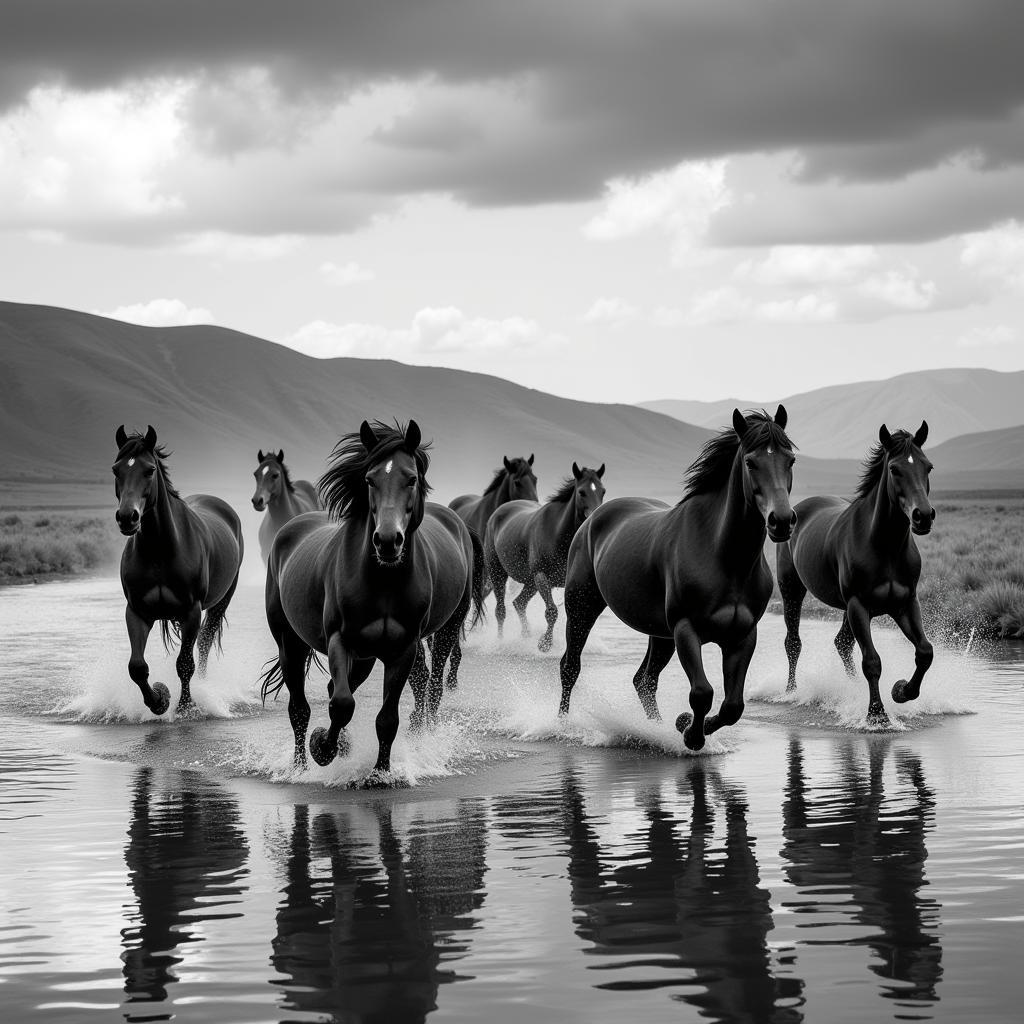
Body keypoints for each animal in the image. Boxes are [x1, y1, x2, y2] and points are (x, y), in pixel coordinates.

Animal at [112, 421, 245, 712]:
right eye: (116, 469)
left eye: (149, 470)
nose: (127, 517)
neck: (159, 551)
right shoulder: (136, 611)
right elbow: (137, 667)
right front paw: (159, 700)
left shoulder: (190, 611)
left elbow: (185, 664)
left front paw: (185, 707)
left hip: (221, 601)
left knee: (204, 644)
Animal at [256, 419, 479, 778]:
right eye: (370, 479)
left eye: (411, 478)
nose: (387, 541)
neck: (382, 582)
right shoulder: (340, 640)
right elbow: (342, 704)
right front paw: (323, 747)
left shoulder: (402, 649)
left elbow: (387, 719)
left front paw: (380, 773)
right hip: (290, 641)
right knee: (300, 708)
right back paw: (301, 766)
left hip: (421, 638)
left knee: (428, 686)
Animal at [483, 462, 602, 651]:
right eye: (582, 492)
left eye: (603, 491)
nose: (595, 517)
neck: (558, 532)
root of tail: (497, 513)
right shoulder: (542, 576)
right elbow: (552, 611)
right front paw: (545, 644)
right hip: (498, 573)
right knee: (500, 610)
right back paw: (500, 642)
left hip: (530, 582)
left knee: (519, 603)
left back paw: (525, 636)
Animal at [557, 407, 794, 753]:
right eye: (751, 462)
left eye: (790, 460)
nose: (782, 522)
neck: (724, 555)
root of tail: (592, 520)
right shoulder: (686, 629)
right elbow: (702, 693)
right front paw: (690, 733)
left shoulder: (742, 636)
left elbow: (732, 706)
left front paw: (687, 726)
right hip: (582, 609)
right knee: (570, 667)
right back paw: (561, 725)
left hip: (659, 634)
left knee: (644, 680)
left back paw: (654, 729)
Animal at [774, 419, 937, 724]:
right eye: (895, 469)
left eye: (928, 466)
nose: (923, 516)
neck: (885, 546)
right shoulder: (858, 604)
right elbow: (872, 661)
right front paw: (877, 715)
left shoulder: (904, 603)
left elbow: (924, 652)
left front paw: (901, 691)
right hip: (793, 590)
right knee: (793, 642)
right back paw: (791, 692)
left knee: (842, 643)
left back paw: (850, 691)